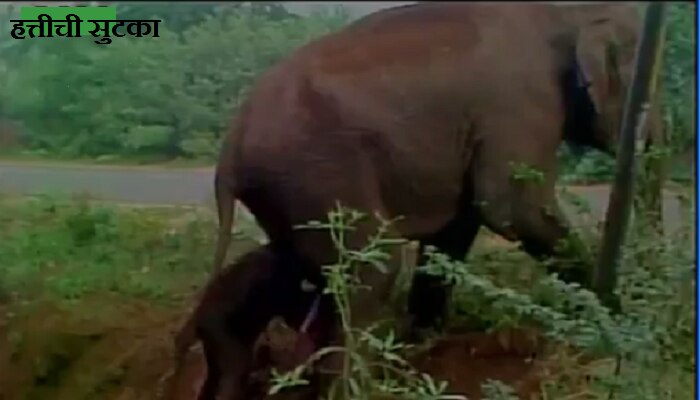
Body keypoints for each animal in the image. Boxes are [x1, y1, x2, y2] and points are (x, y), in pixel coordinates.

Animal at [211, 1, 644, 342]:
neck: (568, 12)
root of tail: (230, 146)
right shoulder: (522, 104)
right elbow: (511, 208)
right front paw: (615, 324)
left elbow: (457, 226)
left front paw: (424, 341)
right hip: (317, 174)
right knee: (373, 271)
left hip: (284, 191)